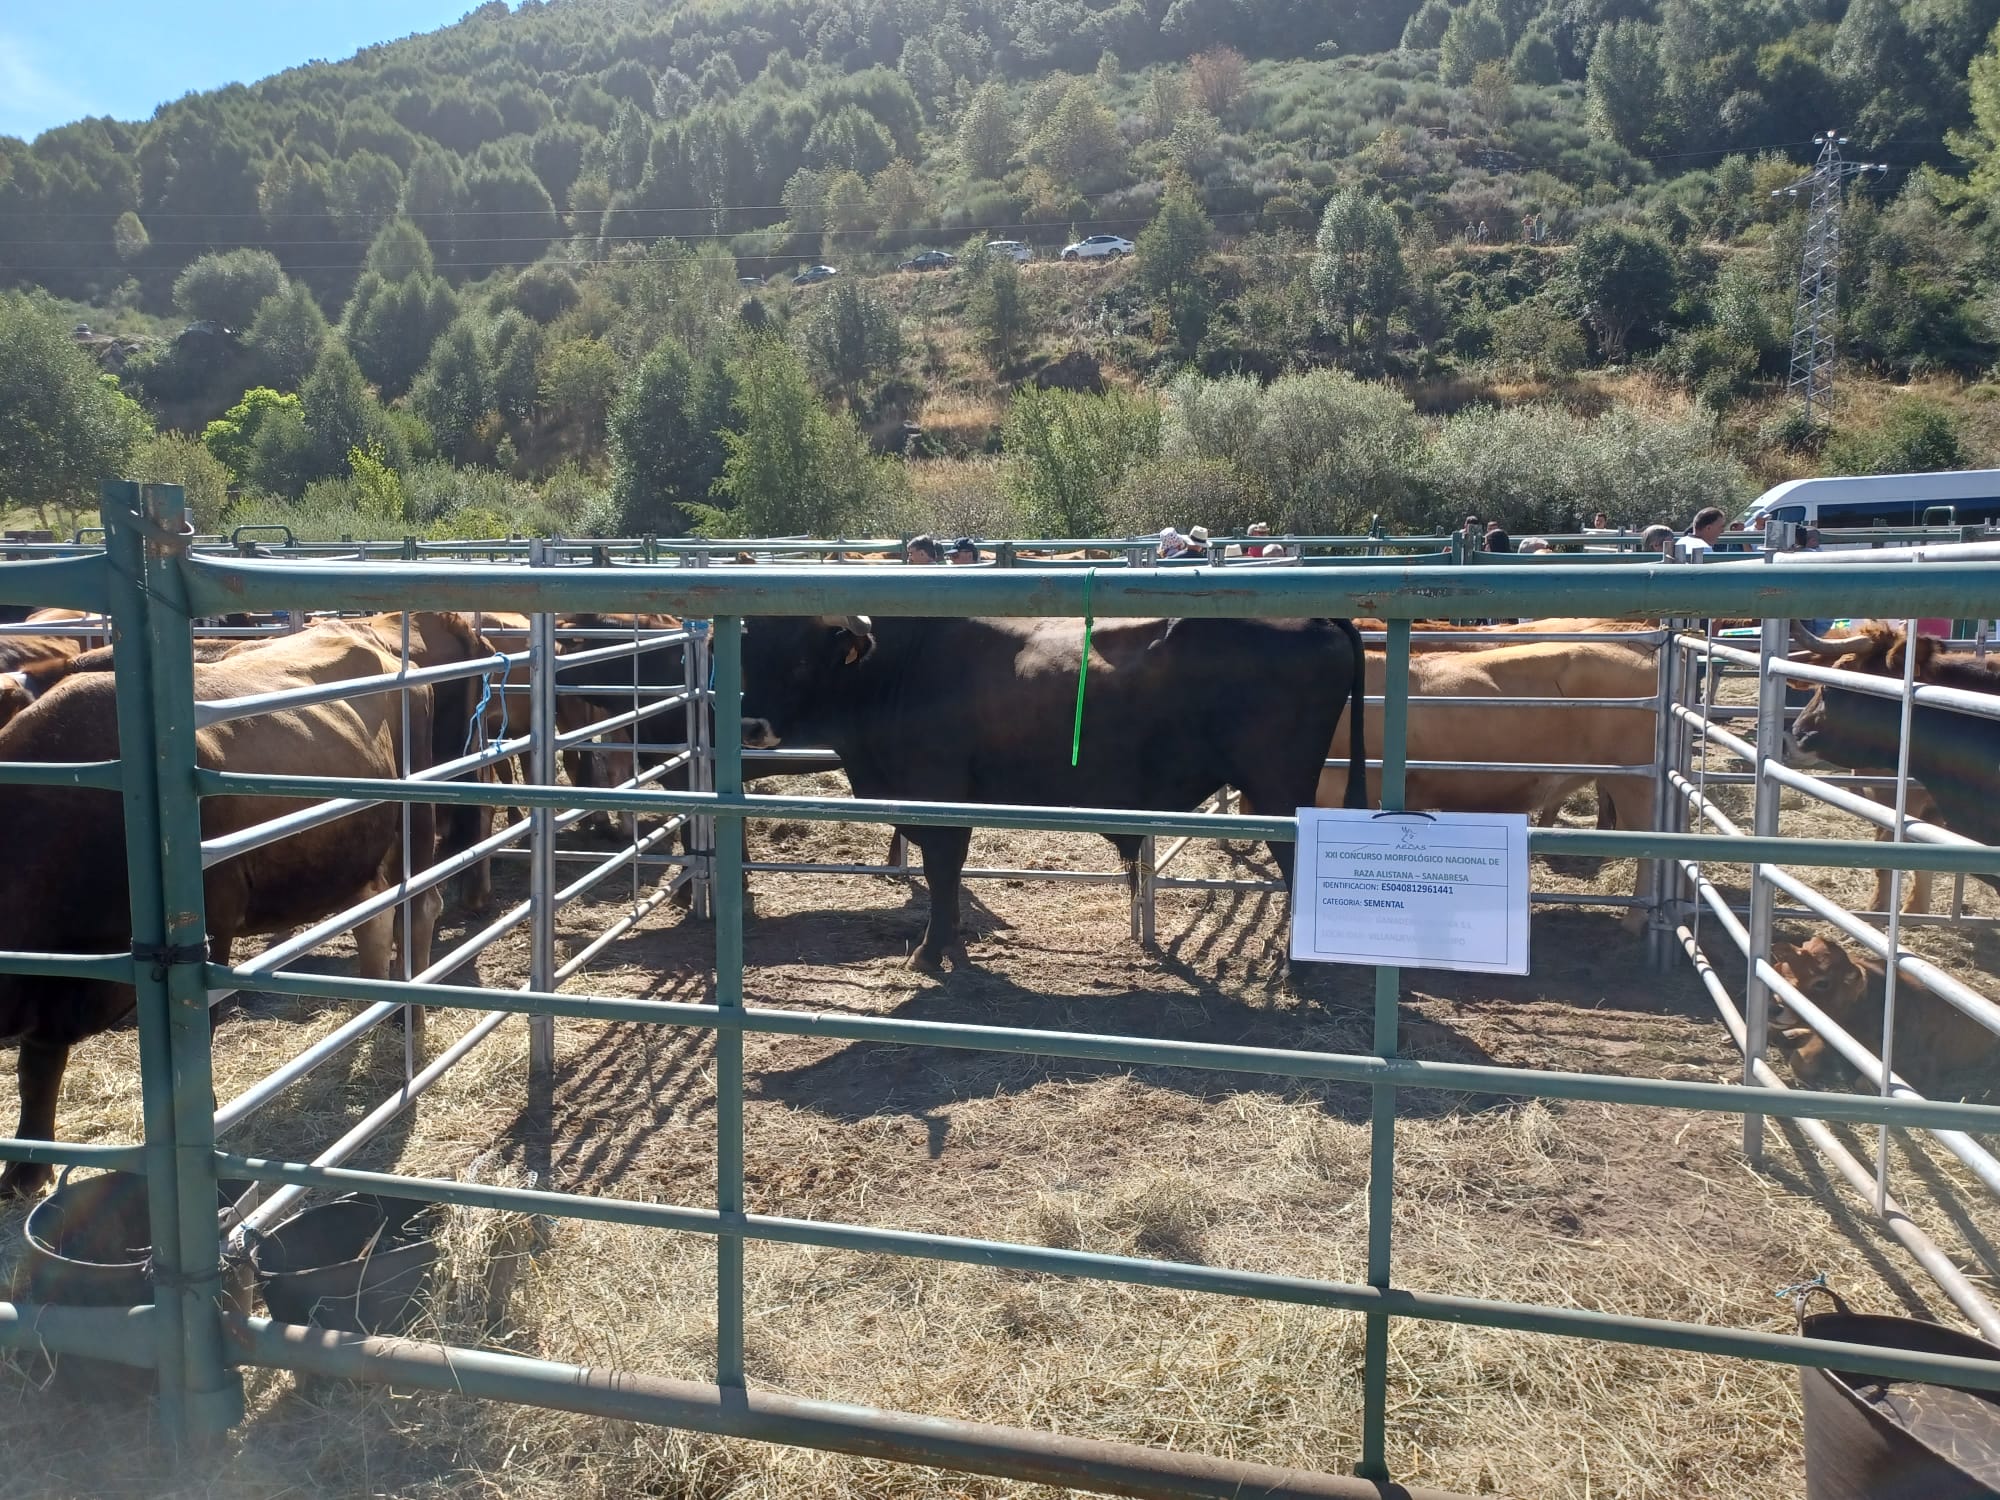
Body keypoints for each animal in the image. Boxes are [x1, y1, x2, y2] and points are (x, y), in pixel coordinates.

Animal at [0, 612, 486, 1200]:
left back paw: (406, 1018)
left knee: (418, 908)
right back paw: (368, 1011)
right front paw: (27, 1170)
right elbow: (38, 1067)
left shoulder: (208, 934)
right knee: (375, 918)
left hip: (412, 820)